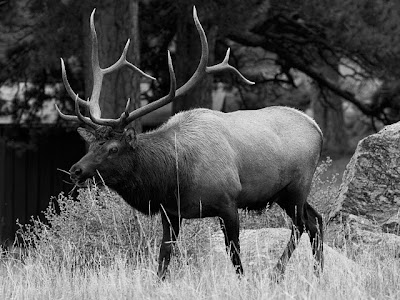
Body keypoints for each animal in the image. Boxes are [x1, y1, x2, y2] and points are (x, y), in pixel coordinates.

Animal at [56, 7, 324, 278]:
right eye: (92, 145)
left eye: (113, 148)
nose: (75, 170)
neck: (173, 178)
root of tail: (316, 126)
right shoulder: (170, 212)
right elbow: (164, 255)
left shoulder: (228, 202)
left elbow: (234, 253)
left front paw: (244, 280)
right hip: (284, 194)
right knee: (316, 220)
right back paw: (316, 272)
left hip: (297, 185)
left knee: (302, 224)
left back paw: (278, 272)